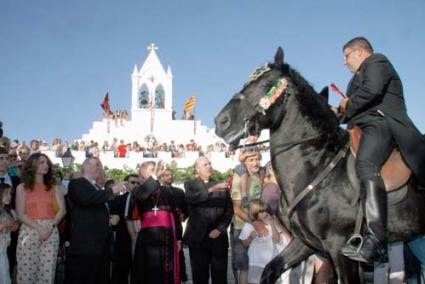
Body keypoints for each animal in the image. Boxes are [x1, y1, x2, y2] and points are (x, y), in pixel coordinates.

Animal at [215, 47, 424, 282]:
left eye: (264, 85)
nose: (220, 122)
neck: (316, 164)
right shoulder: (306, 243)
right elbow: (269, 270)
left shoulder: (339, 247)